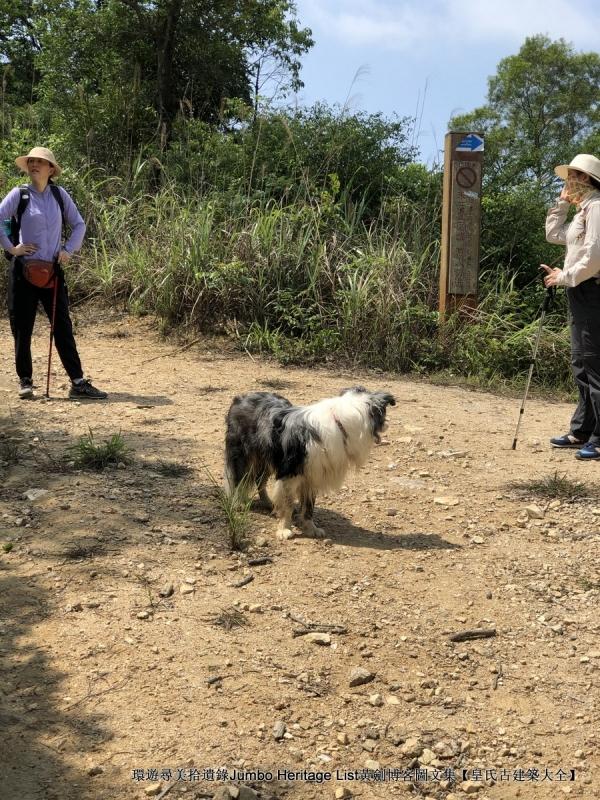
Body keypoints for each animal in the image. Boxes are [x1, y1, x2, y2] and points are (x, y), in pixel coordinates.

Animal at [223, 386, 396, 540]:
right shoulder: (290, 473)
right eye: (383, 414)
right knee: (238, 481)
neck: (340, 423)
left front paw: (311, 529)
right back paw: (237, 504)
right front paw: (284, 529)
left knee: (260, 480)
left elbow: (308, 507)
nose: (389, 423)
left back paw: (268, 502)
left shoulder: (313, 475)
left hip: (267, 458)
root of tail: (240, 398)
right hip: (243, 456)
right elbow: (288, 505)